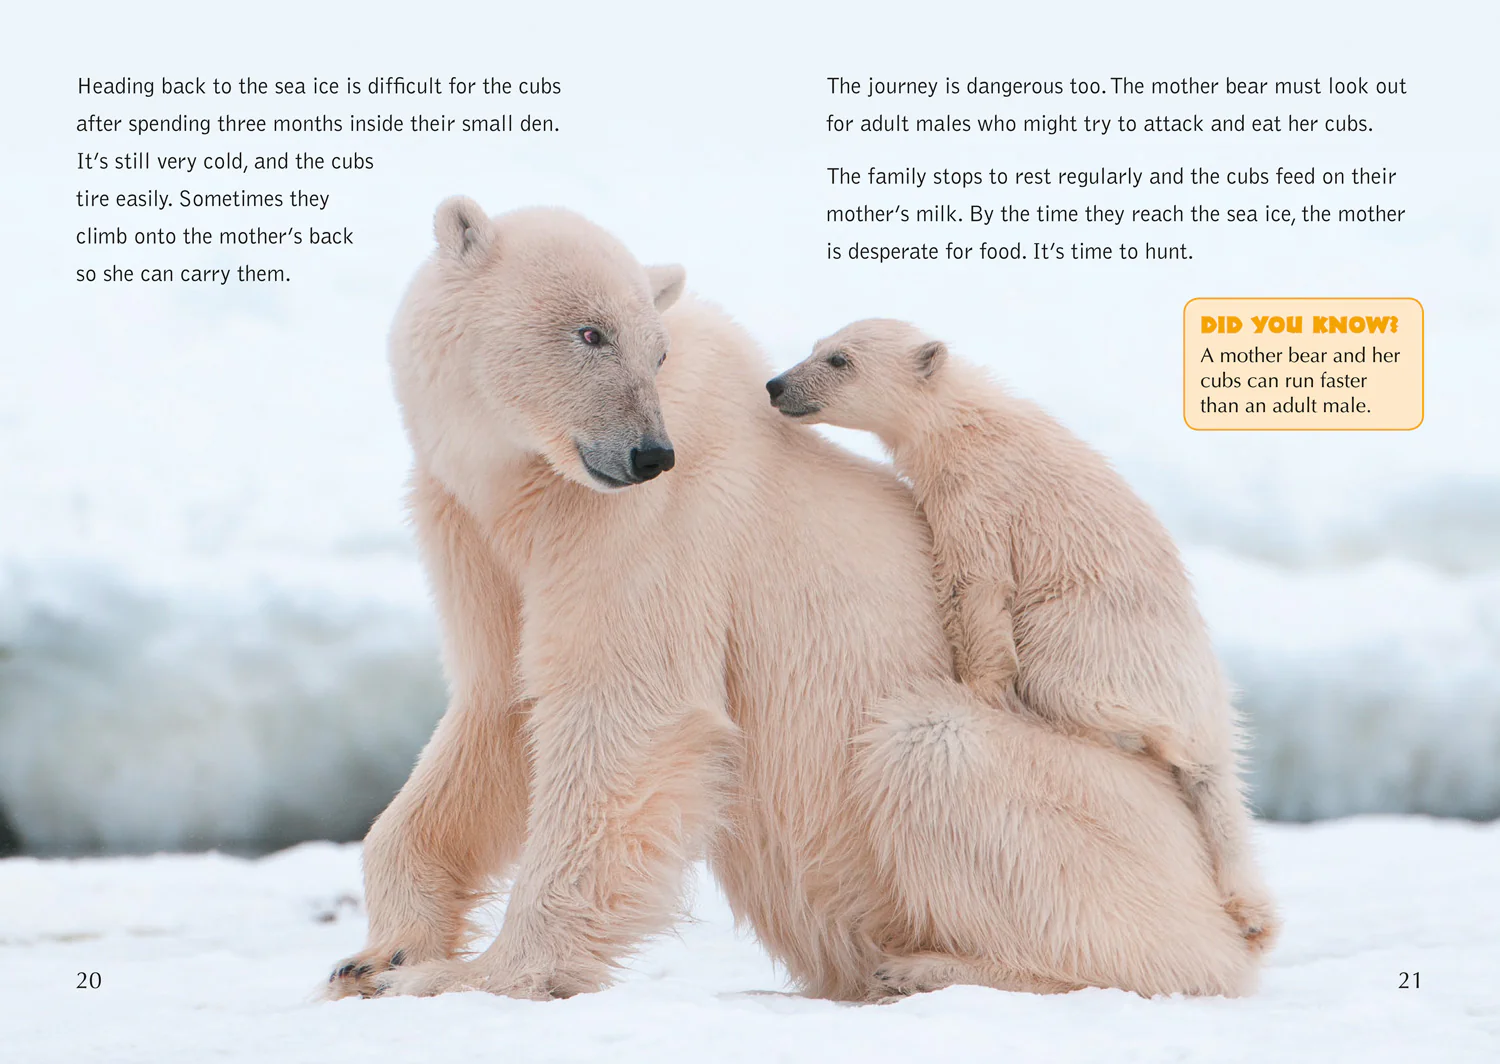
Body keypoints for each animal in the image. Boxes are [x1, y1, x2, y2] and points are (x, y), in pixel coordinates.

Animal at [766, 318, 1279, 951]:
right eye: (815, 346)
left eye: (840, 360)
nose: (776, 384)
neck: (963, 419)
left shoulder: (980, 493)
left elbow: (977, 583)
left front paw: (979, 689)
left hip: (1098, 639)